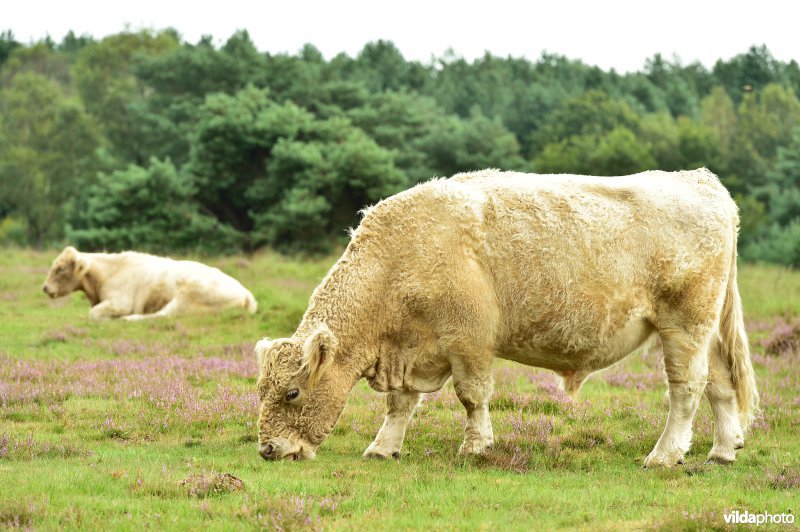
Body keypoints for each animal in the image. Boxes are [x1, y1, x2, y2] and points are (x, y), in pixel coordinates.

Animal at [42, 246, 258, 320]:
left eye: (61, 269)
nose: (45, 288)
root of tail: (246, 293)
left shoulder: (119, 302)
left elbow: (93, 314)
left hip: (188, 295)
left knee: (161, 315)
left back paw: (128, 319)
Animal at [255, 168, 756, 468]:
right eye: (261, 390)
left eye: (293, 392)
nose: (267, 449)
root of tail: (700, 180)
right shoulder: (410, 346)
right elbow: (400, 404)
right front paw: (383, 448)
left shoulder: (468, 340)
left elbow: (471, 396)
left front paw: (476, 446)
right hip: (705, 332)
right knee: (720, 384)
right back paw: (723, 450)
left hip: (684, 326)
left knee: (687, 389)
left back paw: (665, 454)